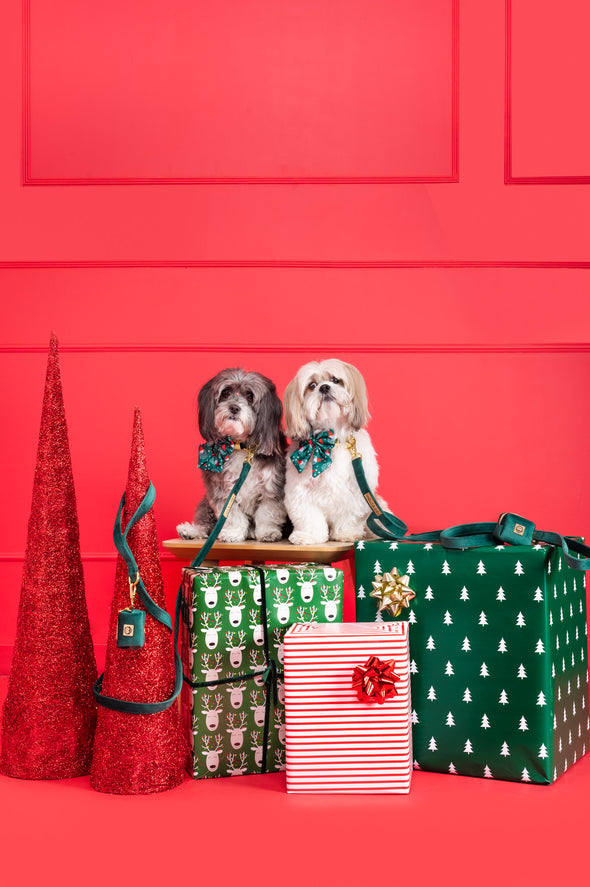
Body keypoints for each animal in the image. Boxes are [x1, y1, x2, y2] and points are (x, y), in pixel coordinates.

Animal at [178, 366, 290, 540]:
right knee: (207, 522)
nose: (234, 408)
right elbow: (231, 515)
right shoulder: (222, 489)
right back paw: (191, 531)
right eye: (226, 392)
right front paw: (232, 533)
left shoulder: (272, 487)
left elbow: (267, 513)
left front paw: (267, 532)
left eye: (250, 396)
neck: (240, 447)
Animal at [284, 358, 386, 544]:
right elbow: (309, 517)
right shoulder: (301, 493)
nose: (324, 387)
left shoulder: (355, 491)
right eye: (312, 385)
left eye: (335, 380)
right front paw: (308, 536)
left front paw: (347, 533)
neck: (329, 442)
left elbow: (349, 516)